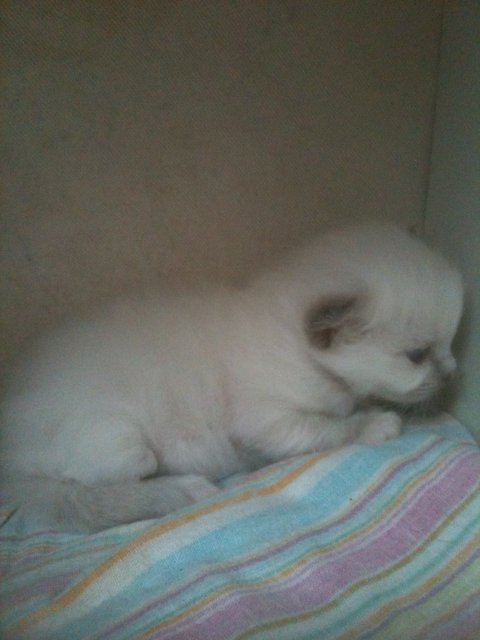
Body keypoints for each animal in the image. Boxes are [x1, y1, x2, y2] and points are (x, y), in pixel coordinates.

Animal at [0, 223, 463, 532]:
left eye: (448, 345)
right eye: (417, 356)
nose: (454, 373)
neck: (303, 353)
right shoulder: (269, 423)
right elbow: (331, 428)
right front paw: (375, 423)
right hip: (120, 441)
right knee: (90, 494)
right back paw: (186, 490)